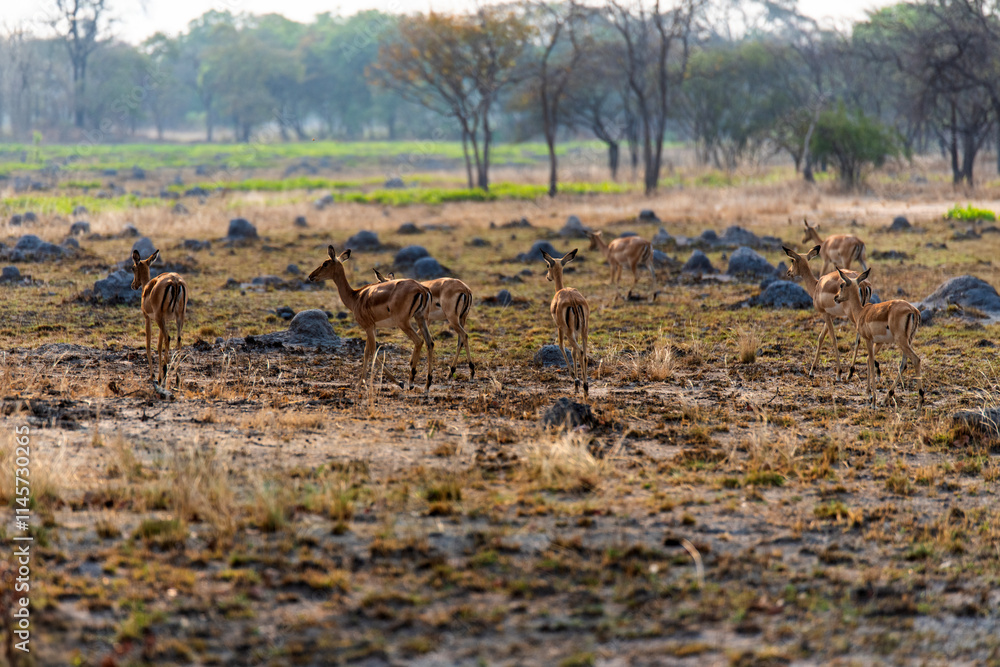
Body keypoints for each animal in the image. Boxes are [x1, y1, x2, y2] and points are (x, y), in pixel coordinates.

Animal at [130, 249, 187, 387]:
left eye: (133, 268)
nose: (133, 285)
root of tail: (175, 281)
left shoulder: (148, 318)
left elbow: (149, 345)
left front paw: (153, 376)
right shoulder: (164, 319)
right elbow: (159, 345)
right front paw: (159, 376)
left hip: (159, 318)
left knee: (168, 338)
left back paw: (165, 377)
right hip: (179, 317)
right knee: (178, 340)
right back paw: (177, 379)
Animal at [309, 246, 434, 392]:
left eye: (325, 263)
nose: (311, 276)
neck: (356, 297)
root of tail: (422, 289)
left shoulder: (368, 327)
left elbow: (372, 351)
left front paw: (398, 382)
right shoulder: (372, 327)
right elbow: (366, 351)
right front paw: (360, 383)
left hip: (404, 323)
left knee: (419, 341)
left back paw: (410, 382)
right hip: (421, 318)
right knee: (430, 342)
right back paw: (427, 385)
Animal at [541, 249, 590, 397]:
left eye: (547, 265)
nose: (548, 277)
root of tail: (573, 300)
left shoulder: (559, 327)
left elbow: (561, 346)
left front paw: (575, 380)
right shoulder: (576, 332)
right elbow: (573, 352)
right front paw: (576, 385)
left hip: (568, 331)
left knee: (579, 351)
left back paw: (584, 386)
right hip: (584, 331)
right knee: (583, 354)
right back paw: (585, 386)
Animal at [782, 245, 871, 380]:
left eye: (792, 260)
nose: (788, 272)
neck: (817, 286)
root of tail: (863, 283)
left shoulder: (825, 314)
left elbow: (833, 339)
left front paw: (838, 373)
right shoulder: (831, 315)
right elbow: (820, 338)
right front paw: (812, 371)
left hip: (852, 315)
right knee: (859, 340)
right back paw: (850, 372)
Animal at [834, 267, 924, 409]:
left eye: (842, 285)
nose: (836, 297)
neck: (861, 313)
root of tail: (913, 310)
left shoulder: (868, 340)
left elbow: (871, 362)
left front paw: (873, 400)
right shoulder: (879, 342)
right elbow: (868, 360)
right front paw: (868, 393)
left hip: (901, 341)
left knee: (916, 359)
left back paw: (919, 403)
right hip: (907, 341)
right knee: (903, 364)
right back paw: (886, 398)